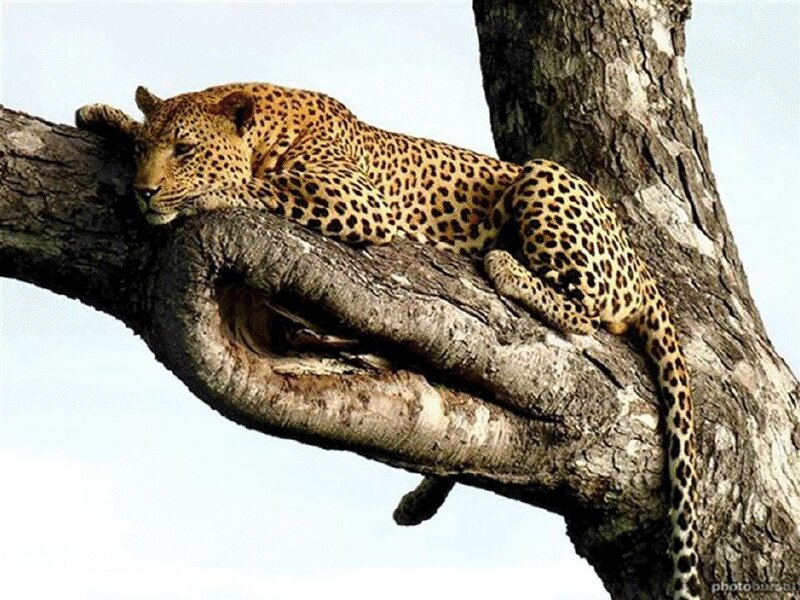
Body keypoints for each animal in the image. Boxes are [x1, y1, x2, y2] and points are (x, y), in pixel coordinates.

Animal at [76, 82, 700, 599]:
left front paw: (203, 192)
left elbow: (256, 186)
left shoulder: (358, 201)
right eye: (147, 151)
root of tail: (642, 263)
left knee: (588, 311)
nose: (144, 192)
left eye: (184, 150)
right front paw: (108, 116)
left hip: (547, 181)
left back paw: (504, 263)